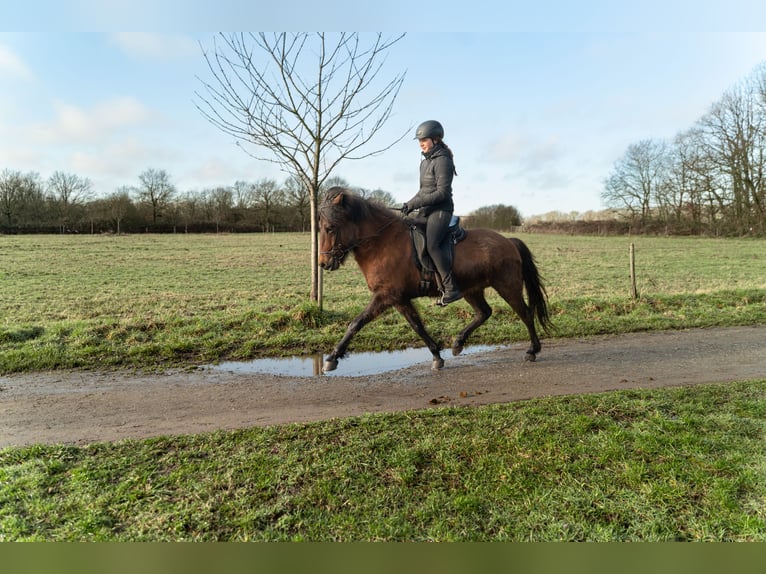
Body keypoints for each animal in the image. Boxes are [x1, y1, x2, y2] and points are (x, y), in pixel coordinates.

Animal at [318, 186, 551, 373]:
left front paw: (332, 357)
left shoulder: (385, 296)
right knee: (484, 313)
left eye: (330, 228)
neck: (382, 242)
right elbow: (417, 325)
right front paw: (437, 356)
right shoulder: (399, 299)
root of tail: (509, 241)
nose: (323, 263)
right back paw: (458, 342)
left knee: (525, 314)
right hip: (471, 290)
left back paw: (532, 350)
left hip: (507, 287)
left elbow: (356, 323)